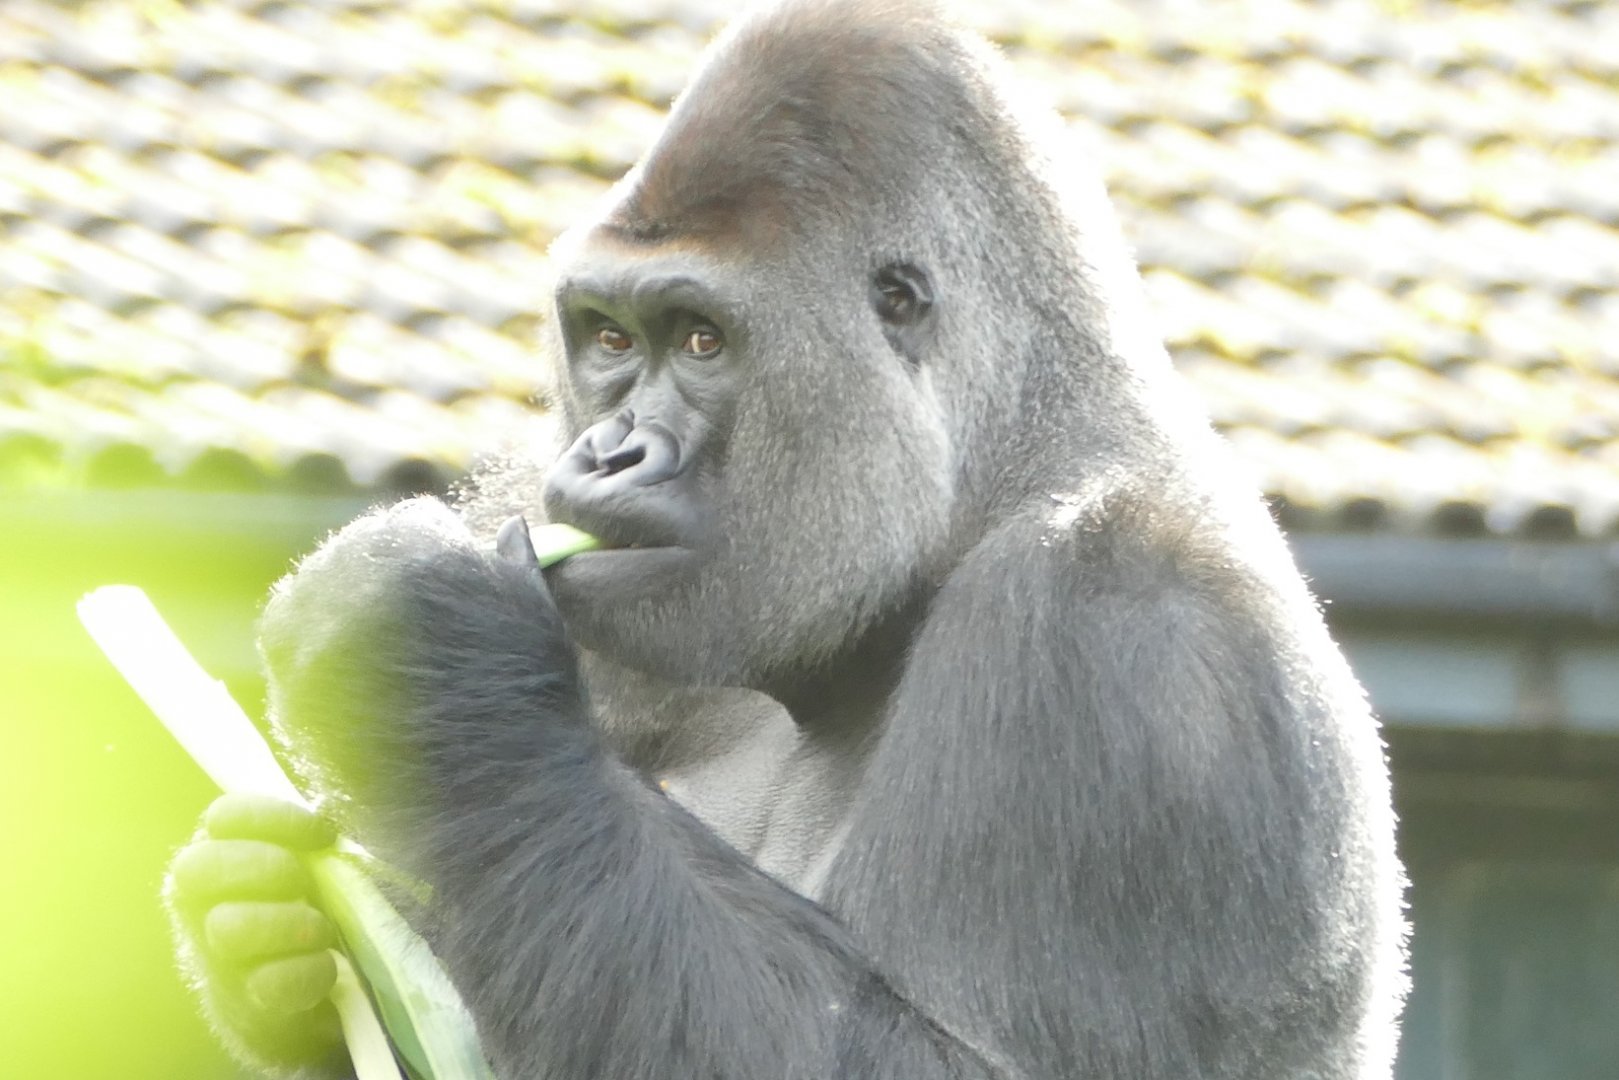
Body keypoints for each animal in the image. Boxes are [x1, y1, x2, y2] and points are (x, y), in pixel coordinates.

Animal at [165, 1, 1407, 1077]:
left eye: (702, 341)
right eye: (608, 338)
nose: (606, 456)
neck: (1002, 466)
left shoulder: (1121, 629)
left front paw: (427, 670)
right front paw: (257, 925)